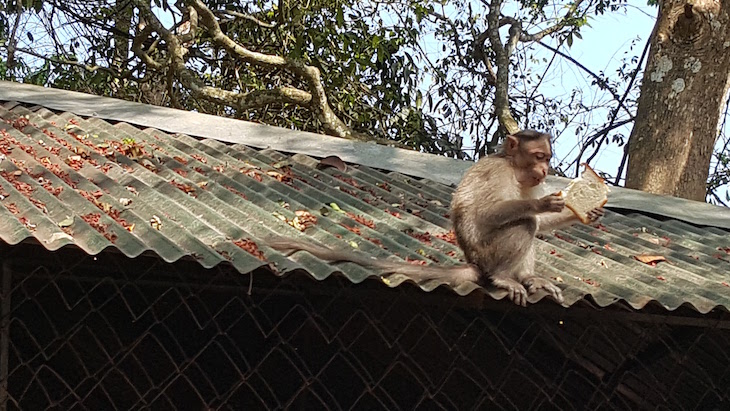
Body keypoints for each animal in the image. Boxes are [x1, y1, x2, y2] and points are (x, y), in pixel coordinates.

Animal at [270, 130, 600, 308]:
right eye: (539, 157)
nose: (545, 170)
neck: (514, 167)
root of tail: (476, 263)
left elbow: (541, 222)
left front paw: (588, 211)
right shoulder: (498, 172)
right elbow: (489, 214)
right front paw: (542, 203)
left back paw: (529, 279)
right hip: (488, 255)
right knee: (524, 224)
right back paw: (504, 277)